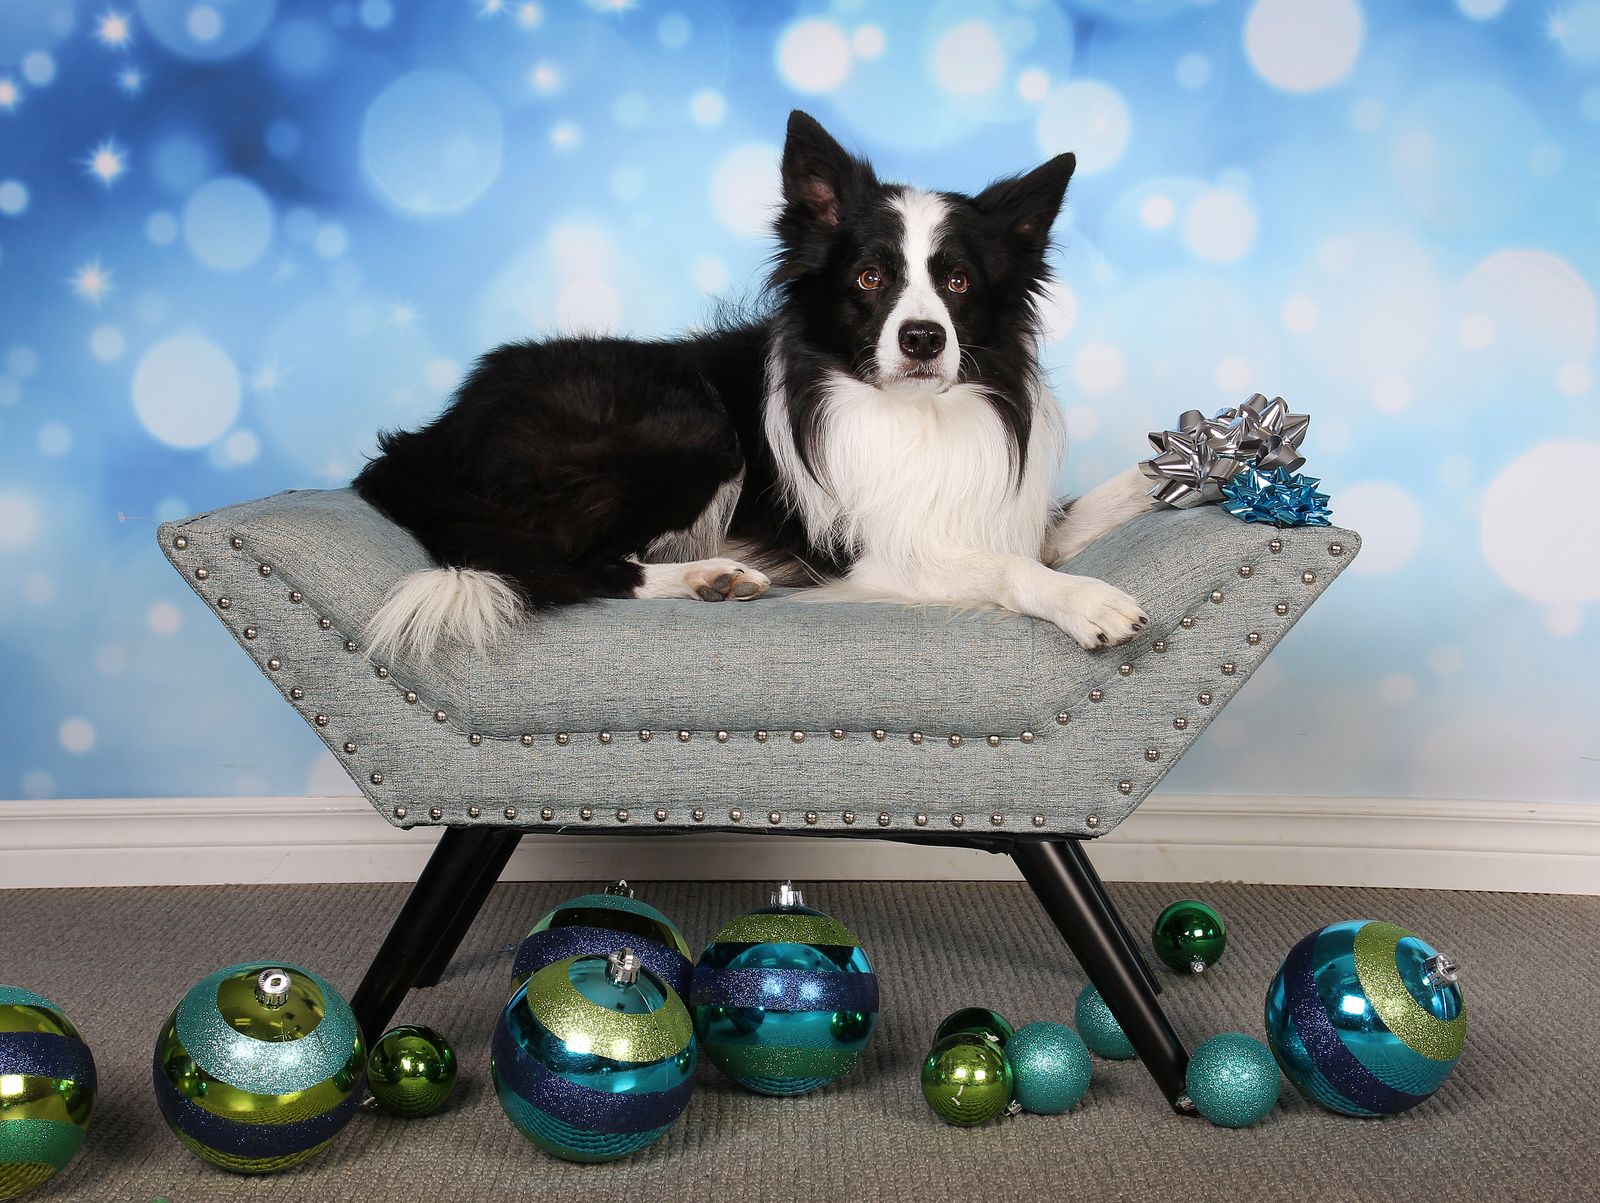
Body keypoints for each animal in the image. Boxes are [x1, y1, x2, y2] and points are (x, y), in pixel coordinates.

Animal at [353, 110, 1154, 661]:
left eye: (958, 282)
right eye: (871, 277)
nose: (924, 339)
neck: (912, 414)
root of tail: (432, 435)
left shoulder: (1000, 513)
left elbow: (1071, 518)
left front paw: (1166, 471)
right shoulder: (878, 555)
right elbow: (1010, 567)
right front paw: (1086, 600)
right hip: (693, 427)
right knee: (568, 565)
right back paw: (707, 575)